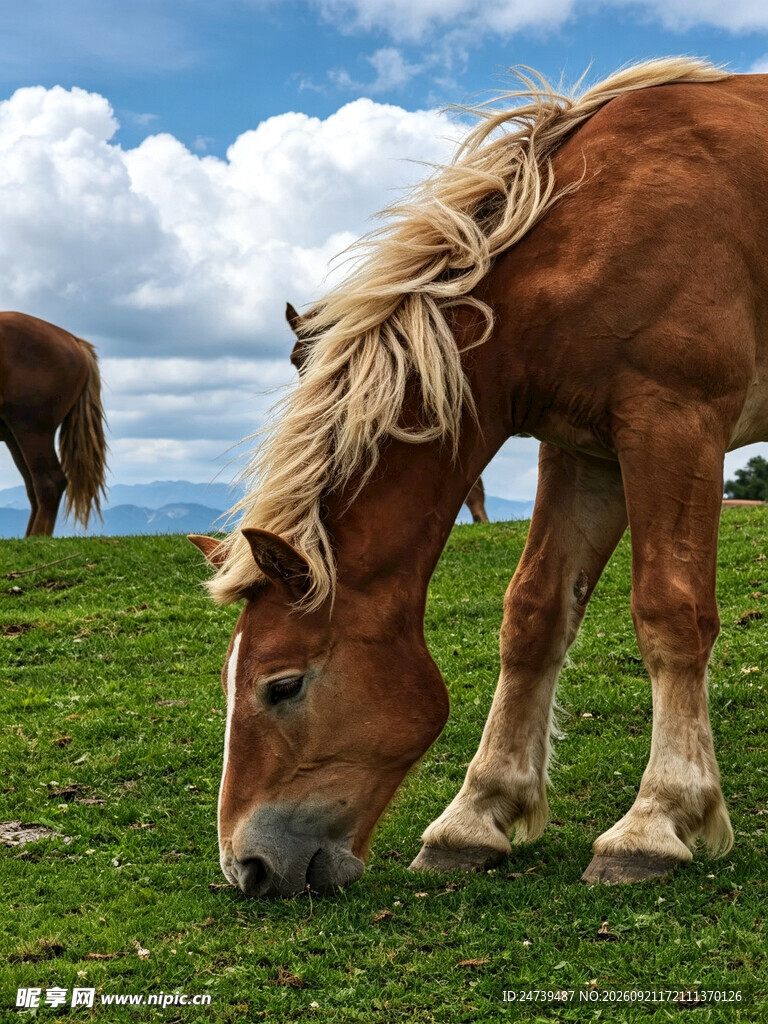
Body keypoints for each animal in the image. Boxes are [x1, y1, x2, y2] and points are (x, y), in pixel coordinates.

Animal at [0, 312, 107, 536]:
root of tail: (74, 341)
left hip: (32, 430)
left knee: (50, 482)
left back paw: (36, 538)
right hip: (14, 437)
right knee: (35, 489)